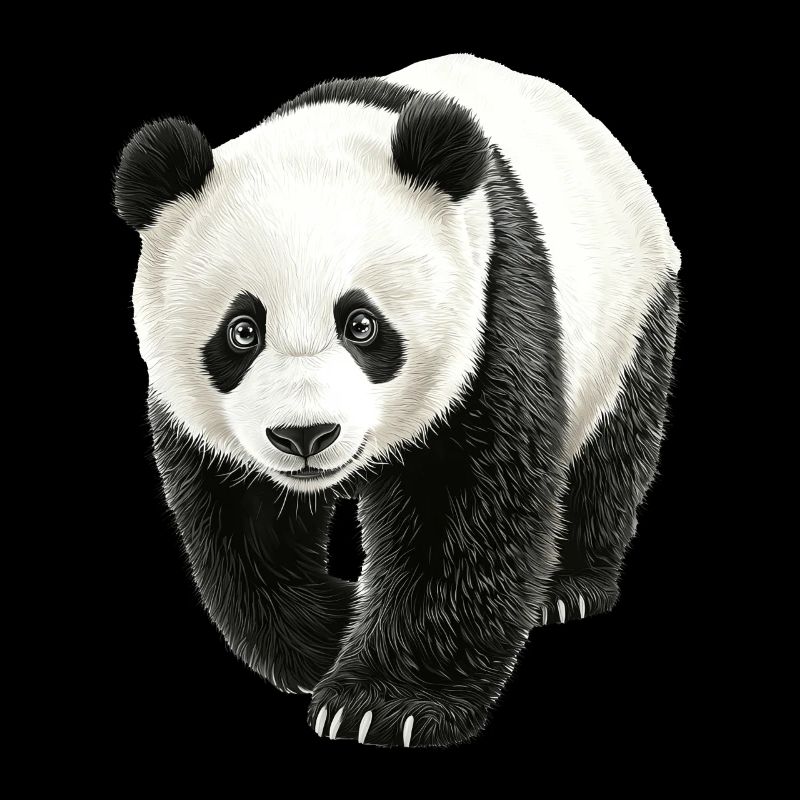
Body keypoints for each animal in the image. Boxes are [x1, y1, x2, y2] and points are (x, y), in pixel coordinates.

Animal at [115, 54, 680, 748]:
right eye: (242, 331)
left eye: (361, 324)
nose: (305, 436)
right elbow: (239, 522)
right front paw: (325, 637)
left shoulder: (492, 312)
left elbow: (462, 510)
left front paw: (383, 706)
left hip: (628, 313)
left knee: (611, 449)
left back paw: (568, 587)